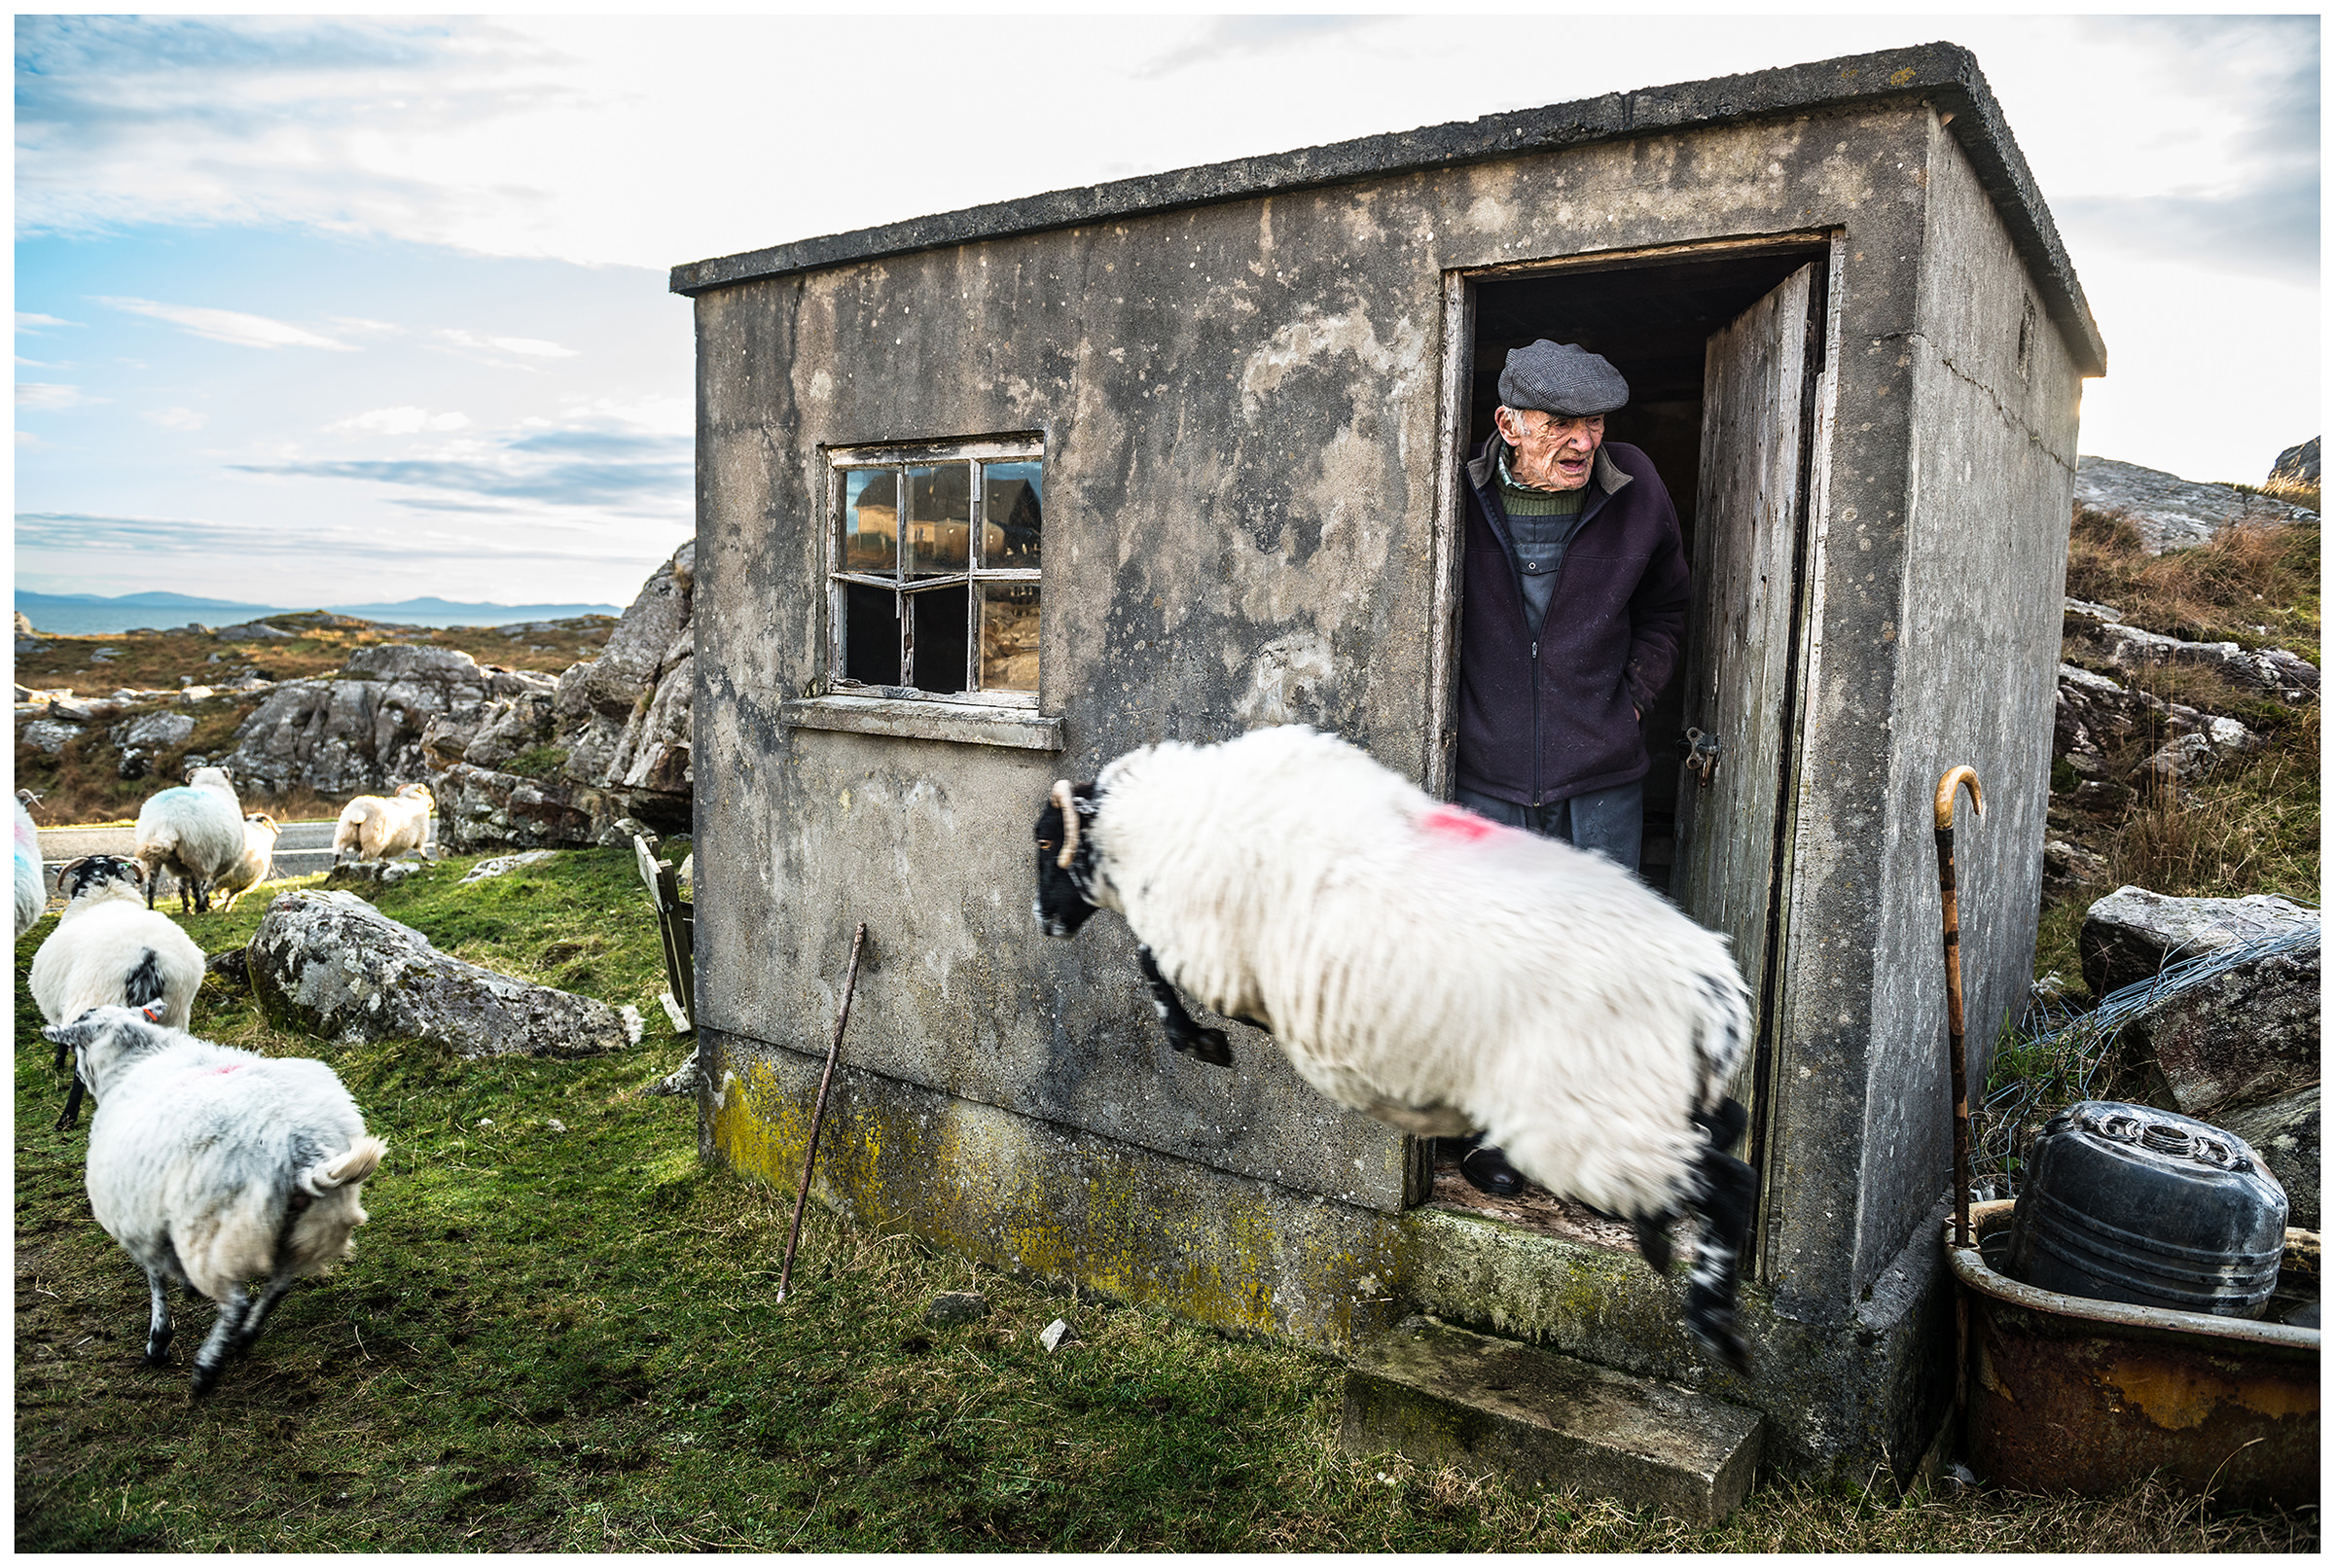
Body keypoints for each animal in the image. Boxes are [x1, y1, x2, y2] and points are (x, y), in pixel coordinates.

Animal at [30, 854, 208, 1131]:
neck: (104, 894)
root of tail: (147, 956)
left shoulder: (60, 1007)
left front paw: (58, 1063)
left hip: (97, 1001)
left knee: (82, 1068)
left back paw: (67, 1119)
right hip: (176, 1010)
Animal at [41, 1001, 387, 1396]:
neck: (137, 1059)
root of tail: (301, 1147)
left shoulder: (140, 1219)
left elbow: (156, 1280)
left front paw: (158, 1342)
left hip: (209, 1230)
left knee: (236, 1302)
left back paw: (208, 1366)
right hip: (312, 1225)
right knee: (278, 1285)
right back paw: (244, 1337)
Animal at [134, 764, 246, 914]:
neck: (210, 784)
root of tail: (167, 821)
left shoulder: (181, 863)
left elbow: (182, 884)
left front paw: (188, 905)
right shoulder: (222, 862)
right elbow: (208, 884)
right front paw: (205, 902)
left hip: (157, 857)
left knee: (152, 886)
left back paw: (156, 908)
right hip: (198, 854)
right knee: (196, 885)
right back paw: (200, 906)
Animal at [1031, 724, 1759, 1371]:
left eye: (1045, 840)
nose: (1044, 923)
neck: (1154, 826)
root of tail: (1714, 992)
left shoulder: (1210, 951)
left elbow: (1151, 964)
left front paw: (1203, 1041)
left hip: (1589, 1121)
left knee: (1731, 1180)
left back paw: (1714, 1323)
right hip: (1645, 1099)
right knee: (1727, 1126)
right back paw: (1664, 1243)